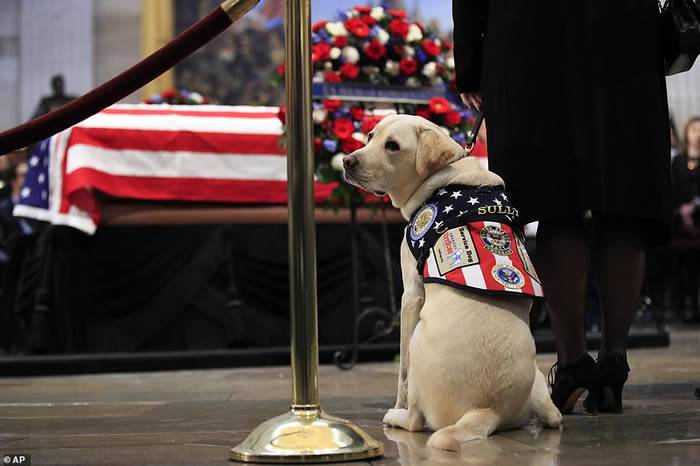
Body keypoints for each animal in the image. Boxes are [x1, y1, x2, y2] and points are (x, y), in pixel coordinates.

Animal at [342, 114, 560, 452]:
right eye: (370, 136)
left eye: (393, 146)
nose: (347, 161)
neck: (444, 177)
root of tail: (487, 409)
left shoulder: (411, 295)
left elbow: (401, 374)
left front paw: (396, 404)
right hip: (538, 383)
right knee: (554, 416)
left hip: (418, 339)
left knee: (415, 419)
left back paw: (396, 417)